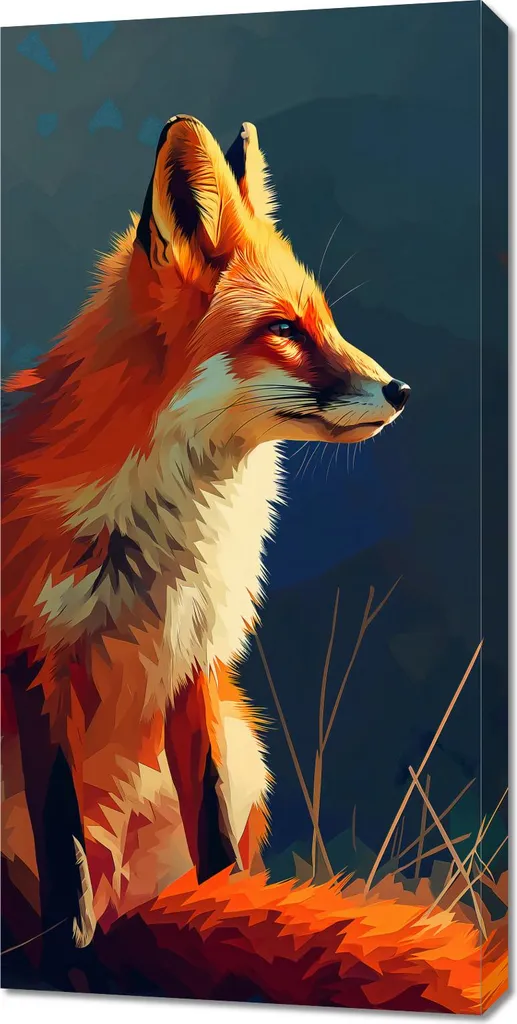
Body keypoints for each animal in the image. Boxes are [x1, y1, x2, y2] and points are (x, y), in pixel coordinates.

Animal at [1, 113, 438, 994]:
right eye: (284, 330)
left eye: (325, 321)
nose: (401, 391)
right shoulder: (36, 657)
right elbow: (63, 846)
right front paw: (65, 953)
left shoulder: (196, 656)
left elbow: (213, 835)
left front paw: (229, 910)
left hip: (246, 741)